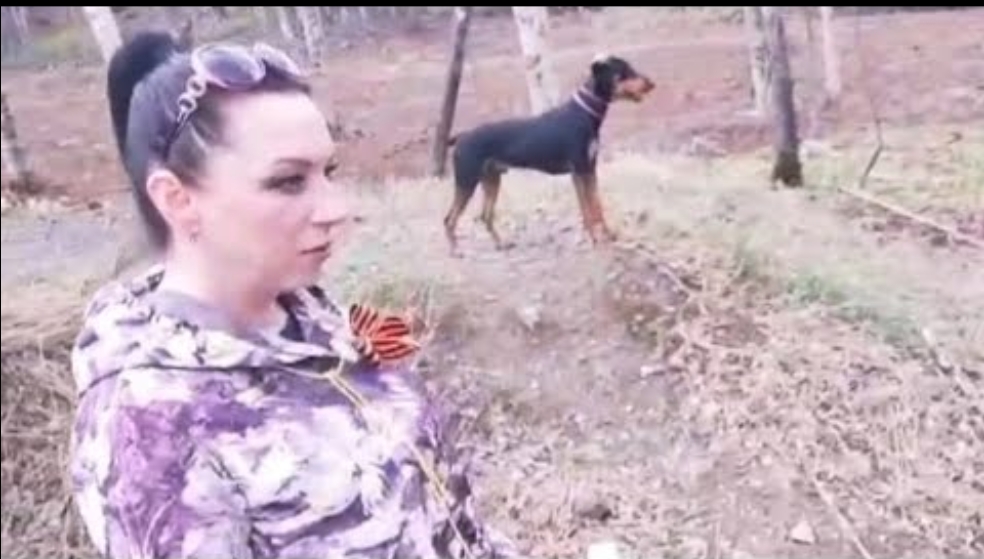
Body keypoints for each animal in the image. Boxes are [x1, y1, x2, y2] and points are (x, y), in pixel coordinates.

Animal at [442, 53, 655, 256]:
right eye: (623, 73)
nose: (651, 84)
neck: (583, 115)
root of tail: (462, 137)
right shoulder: (579, 171)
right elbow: (587, 210)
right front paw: (594, 240)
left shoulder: (589, 169)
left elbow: (597, 206)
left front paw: (608, 235)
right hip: (466, 181)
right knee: (449, 218)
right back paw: (455, 251)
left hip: (491, 180)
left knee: (485, 215)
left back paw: (500, 244)